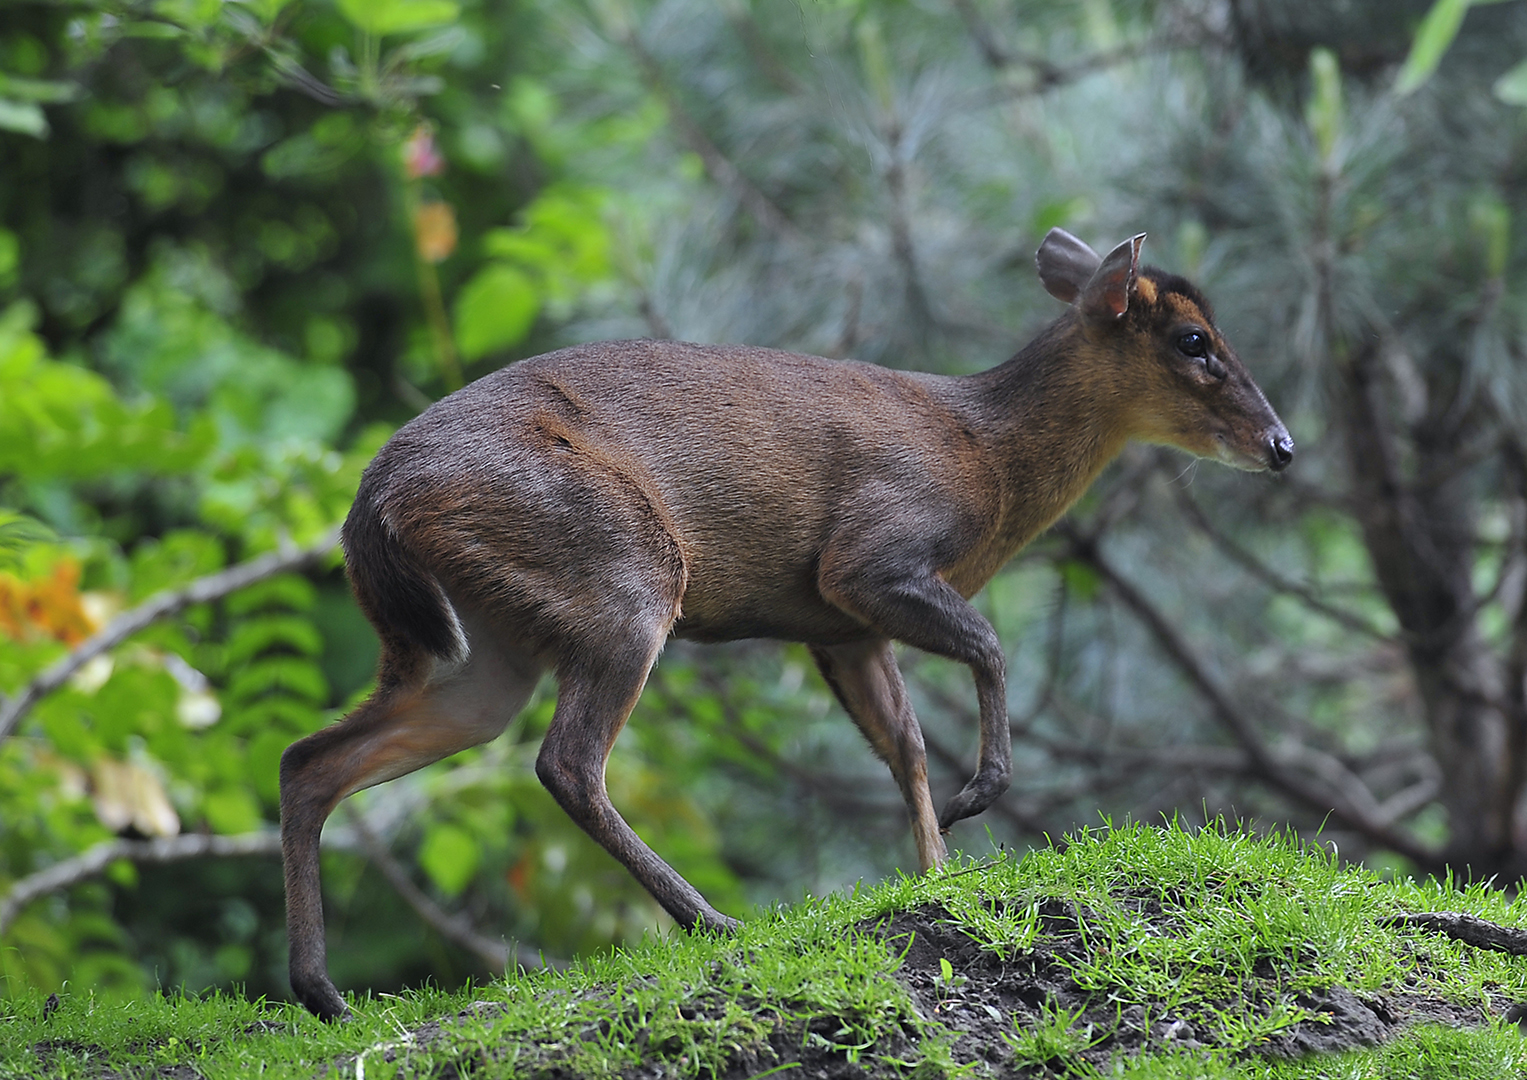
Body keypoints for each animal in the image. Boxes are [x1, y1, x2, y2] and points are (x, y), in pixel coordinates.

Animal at [280, 230, 1294, 1020]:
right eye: (1194, 340)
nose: (1282, 446)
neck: (986, 458)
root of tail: (370, 503)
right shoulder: (868, 555)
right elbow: (986, 647)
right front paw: (977, 797)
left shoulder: (841, 629)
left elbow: (904, 747)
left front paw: (936, 874)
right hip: (618, 567)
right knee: (564, 762)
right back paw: (709, 919)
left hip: (483, 646)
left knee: (312, 758)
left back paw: (322, 992)